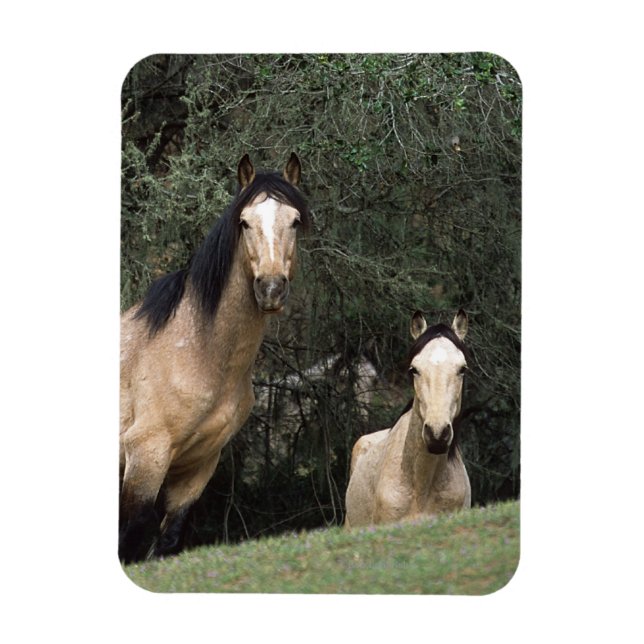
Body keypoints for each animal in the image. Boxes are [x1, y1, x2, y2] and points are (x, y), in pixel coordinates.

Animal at [119, 153, 309, 563]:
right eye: (245, 222)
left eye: (294, 220)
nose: (271, 289)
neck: (197, 350)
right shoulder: (146, 455)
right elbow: (129, 537)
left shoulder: (199, 465)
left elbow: (168, 540)